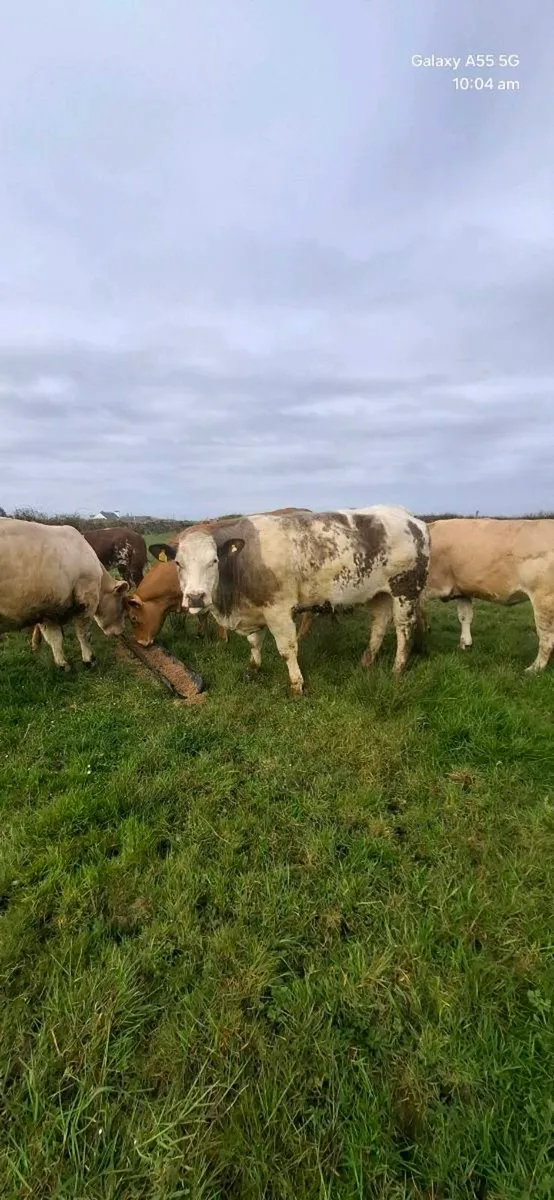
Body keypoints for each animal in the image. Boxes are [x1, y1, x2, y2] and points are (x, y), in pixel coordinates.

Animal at [0, 519, 128, 670]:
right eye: (122, 605)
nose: (121, 630)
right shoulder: (86, 600)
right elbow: (83, 634)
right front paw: (89, 660)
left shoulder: (47, 610)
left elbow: (54, 639)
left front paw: (62, 664)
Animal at [150, 506, 429, 695]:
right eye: (178, 563)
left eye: (214, 560)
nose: (195, 597)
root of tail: (411, 518)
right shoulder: (254, 609)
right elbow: (255, 643)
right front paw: (253, 667)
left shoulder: (278, 610)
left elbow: (287, 649)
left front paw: (297, 684)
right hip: (379, 593)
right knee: (379, 624)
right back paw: (366, 661)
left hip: (405, 589)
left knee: (404, 629)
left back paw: (397, 669)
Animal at [421, 517, 554, 671]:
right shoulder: (463, 590)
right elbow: (465, 616)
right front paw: (465, 644)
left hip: (543, 597)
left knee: (546, 635)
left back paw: (534, 668)